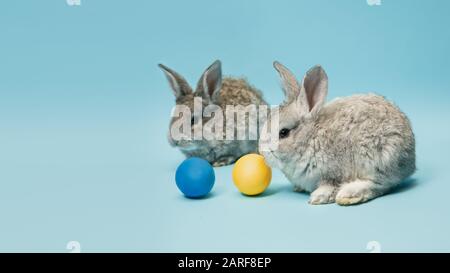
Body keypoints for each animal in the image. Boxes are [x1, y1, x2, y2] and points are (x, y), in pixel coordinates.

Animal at [260, 61, 414, 205]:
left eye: (283, 133)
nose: (262, 152)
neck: (310, 139)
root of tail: (411, 157)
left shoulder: (333, 174)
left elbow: (330, 186)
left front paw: (318, 197)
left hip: (379, 158)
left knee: (381, 184)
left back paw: (348, 195)